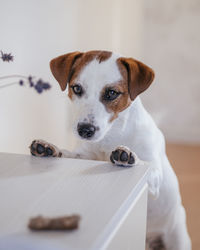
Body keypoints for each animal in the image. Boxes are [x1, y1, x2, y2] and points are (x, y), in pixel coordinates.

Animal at [29, 50, 191, 250]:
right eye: (77, 88)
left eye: (112, 93)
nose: (85, 130)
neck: (111, 134)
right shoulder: (84, 155)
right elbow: (68, 154)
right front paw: (49, 148)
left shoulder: (154, 175)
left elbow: (145, 164)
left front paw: (128, 156)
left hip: (176, 237)